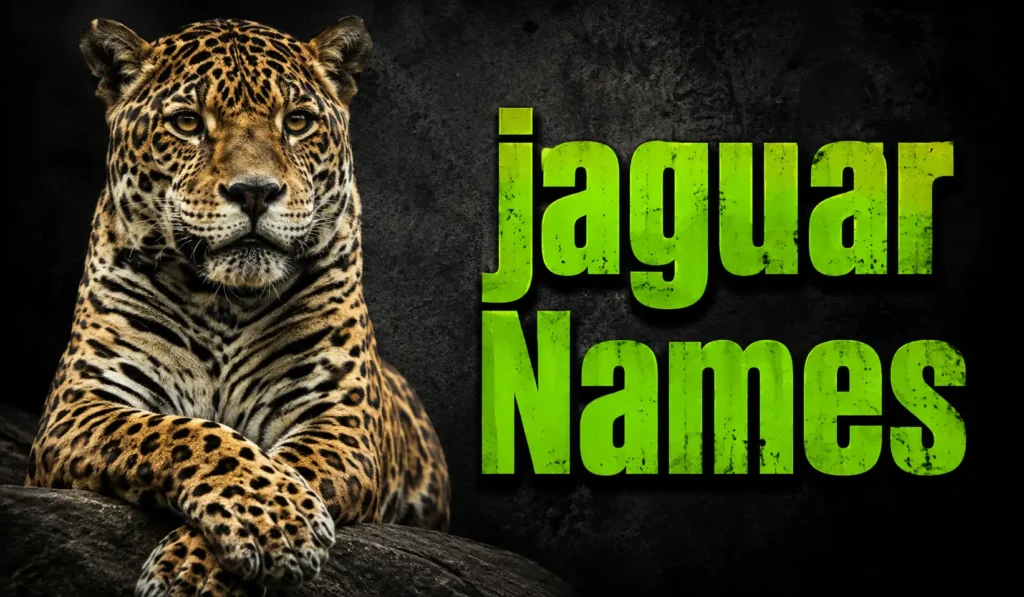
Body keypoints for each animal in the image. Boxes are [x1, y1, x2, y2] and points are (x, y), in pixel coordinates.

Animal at [24, 15, 451, 597]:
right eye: (187, 123)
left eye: (297, 121)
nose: (254, 192)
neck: (224, 302)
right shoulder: (79, 404)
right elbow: (184, 434)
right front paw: (274, 520)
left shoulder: (338, 419)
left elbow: (292, 463)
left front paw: (201, 564)